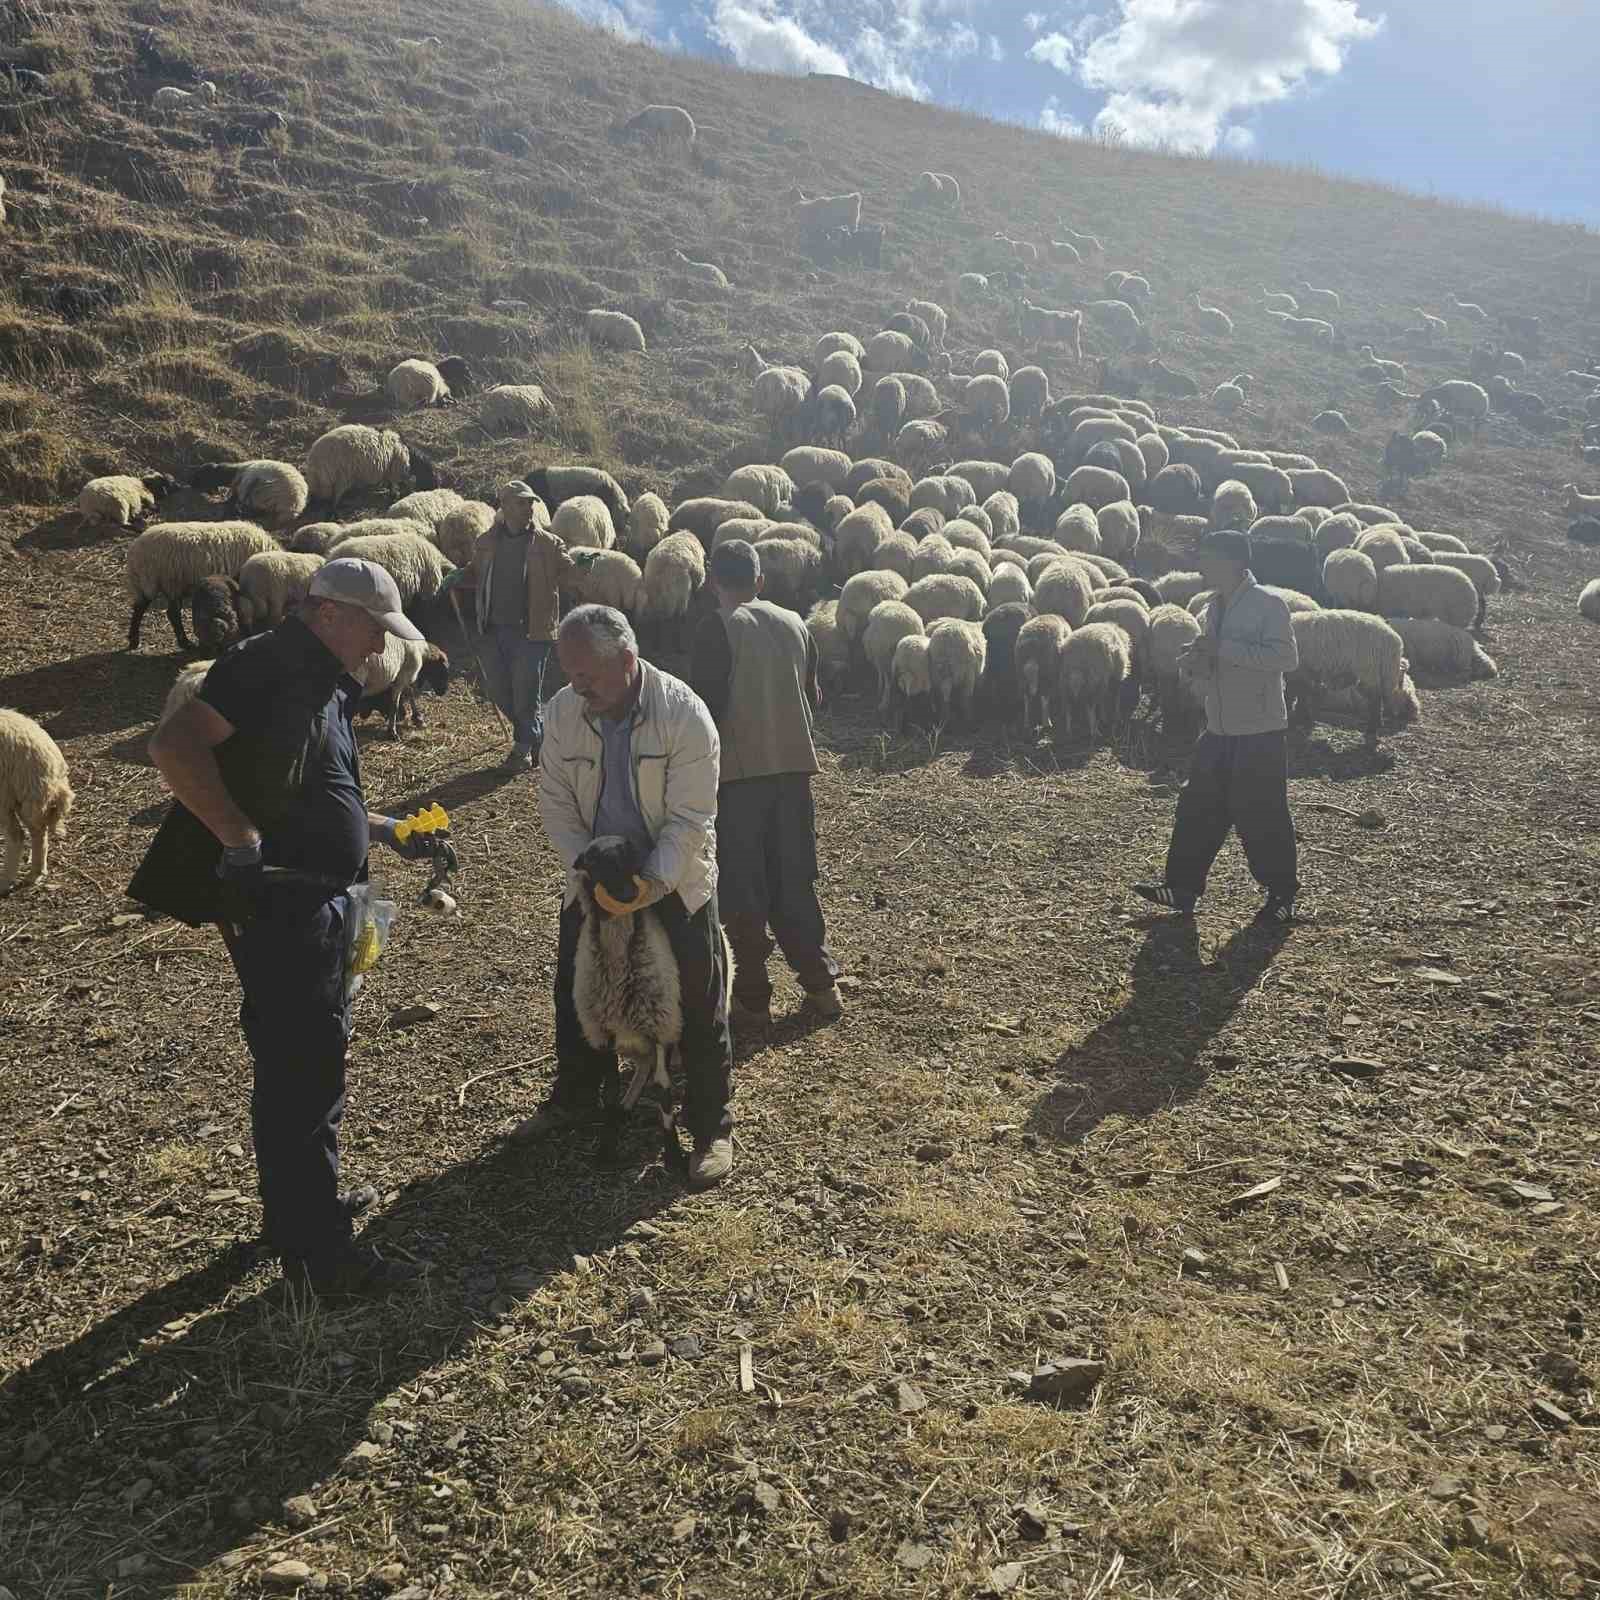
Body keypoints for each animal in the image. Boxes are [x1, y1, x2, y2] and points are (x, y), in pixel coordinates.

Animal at [0, 716, 74, 902]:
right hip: (27, 799)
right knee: (39, 833)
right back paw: (36, 873)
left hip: (8, 797)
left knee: (17, 835)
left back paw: (6, 882)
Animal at [124, 524, 278, 649]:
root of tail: (134, 551)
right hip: (166, 581)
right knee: (171, 613)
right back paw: (184, 643)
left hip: (150, 583)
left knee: (140, 607)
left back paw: (134, 641)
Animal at [576, 838, 736, 1177]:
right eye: (593, 861)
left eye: (632, 855)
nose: (626, 894)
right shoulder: (604, 1035)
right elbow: (610, 1094)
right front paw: (607, 1146)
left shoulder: (661, 1030)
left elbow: (664, 1095)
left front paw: (673, 1155)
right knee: (643, 1066)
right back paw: (628, 1104)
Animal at [1280, 608, 1420, 752]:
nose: (1413, 711)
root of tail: (1395, 642)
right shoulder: (1303, 672)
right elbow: (1299, 695)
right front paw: (1302, 718)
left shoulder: (1298, 671)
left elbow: (1293, 694)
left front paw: (1296, 719)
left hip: (1369, 672)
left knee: (1375, 702)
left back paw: (1372, 730)